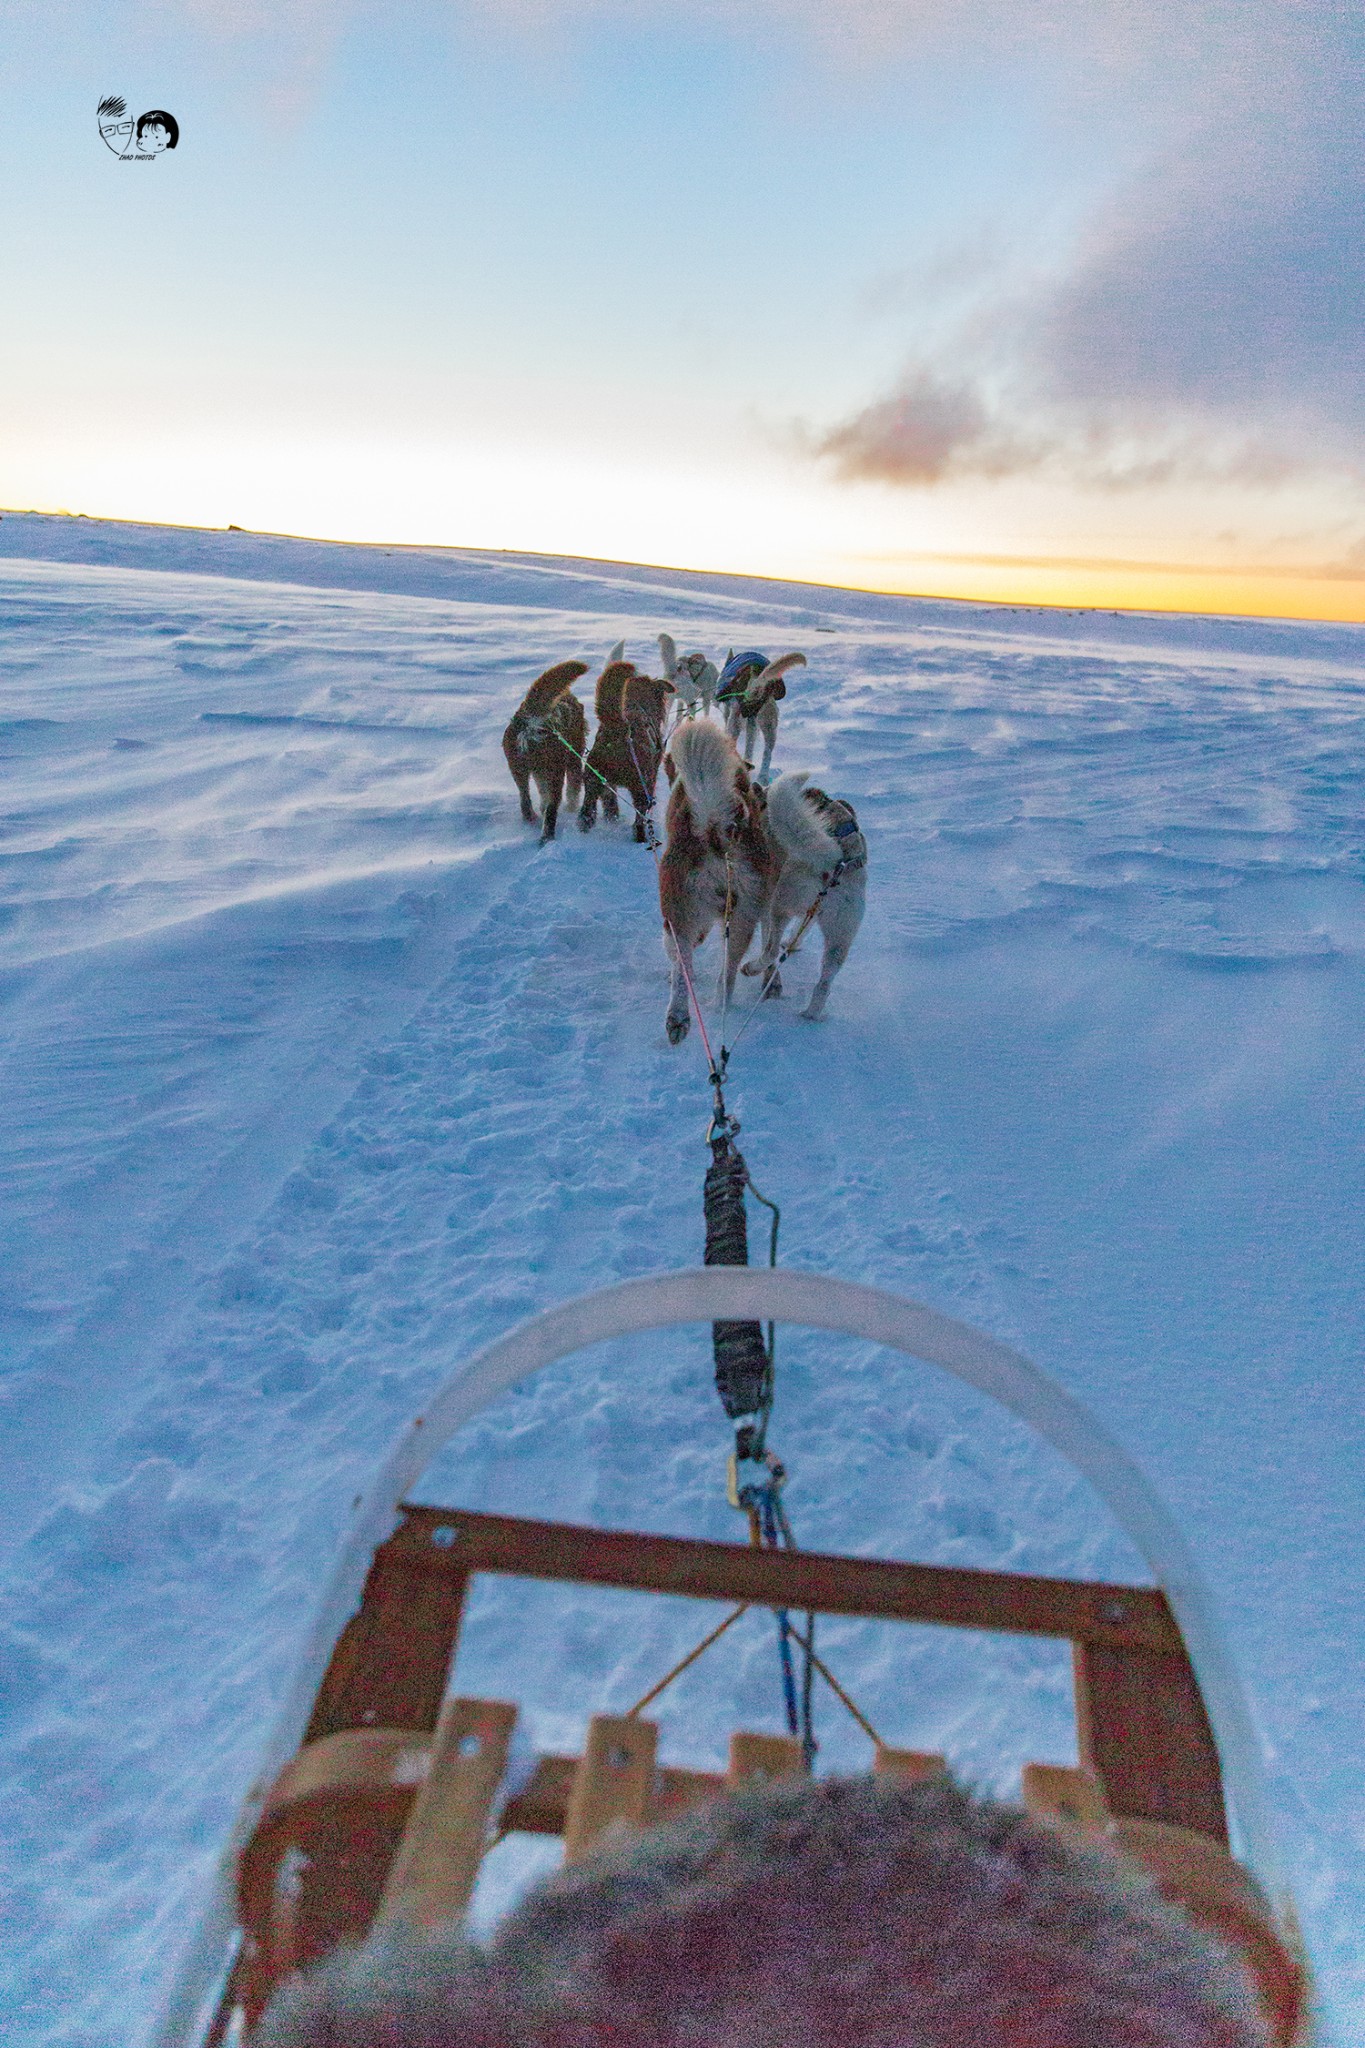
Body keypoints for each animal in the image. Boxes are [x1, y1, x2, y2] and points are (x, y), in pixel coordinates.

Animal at [501, 663, 589, 839]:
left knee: (525, 801)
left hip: (519, 771)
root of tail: (530, 721)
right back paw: (547, 837)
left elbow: (542, 792)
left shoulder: (538, 772)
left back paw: (532, 820)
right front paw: (572, 808)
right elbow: (573, 789)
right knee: (551, 810)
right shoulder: (573, 762)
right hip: (557, 774)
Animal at [581, 663, 679, 839]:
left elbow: (610, 804)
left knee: (587, 814)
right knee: (639, 819)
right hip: (642, 785)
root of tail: (618, 729)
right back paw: (641, 836)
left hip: (594, 780)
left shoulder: (608, 785)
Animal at [654, 716, 773, 1040]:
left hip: (676, 914)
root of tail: (714, 829)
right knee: (726, 976)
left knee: (681, 962)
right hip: (742, 920)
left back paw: (678, 1014)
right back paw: (701, 1012)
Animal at [740, 770, 871, 1019]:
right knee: (824, 984)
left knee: (770, 951)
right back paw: (810, 1014)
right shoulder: (811, 912)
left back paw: (751, 968)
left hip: (781, 903)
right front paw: (793, 943)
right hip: (840, 937)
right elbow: (802, 929)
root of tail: (836, 862)